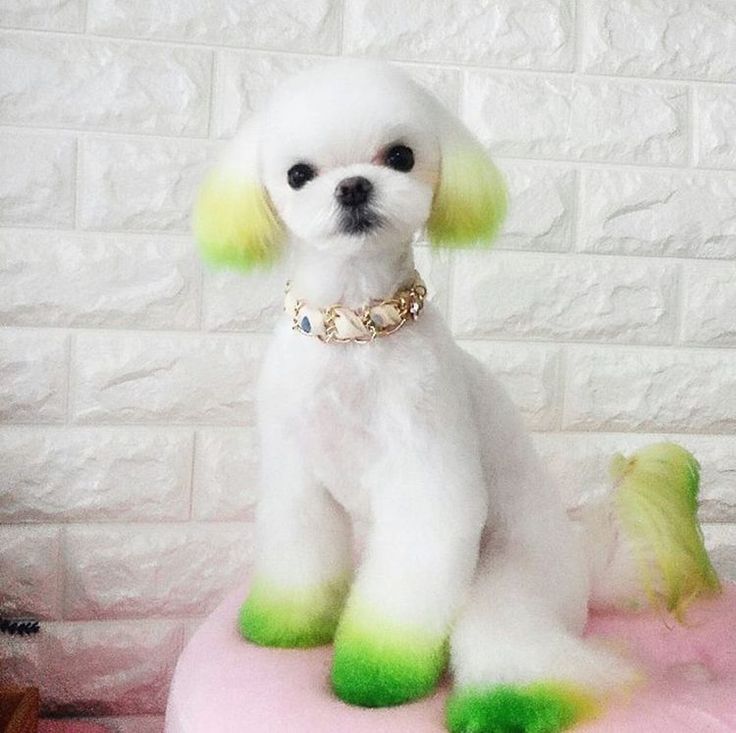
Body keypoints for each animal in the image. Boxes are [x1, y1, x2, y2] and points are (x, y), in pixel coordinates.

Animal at [196, 58, 720, 732]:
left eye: (401, 156)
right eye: (297, 175)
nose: (353, 187)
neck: (353, 331)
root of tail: (583, 569)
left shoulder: (426, 479)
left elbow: (402, 598)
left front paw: (372, 681)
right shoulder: (299, 480)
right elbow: (300, 557)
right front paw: (284, 631)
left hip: (510, 582)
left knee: (508, 645)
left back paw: (506, 704)